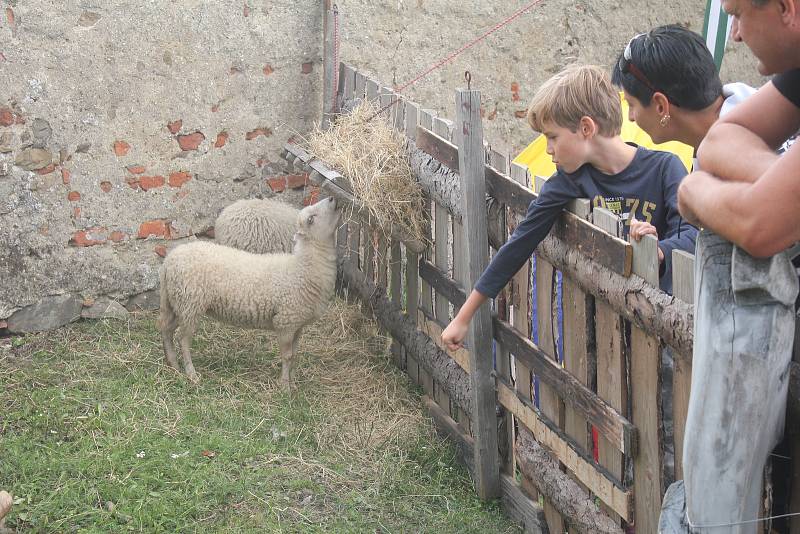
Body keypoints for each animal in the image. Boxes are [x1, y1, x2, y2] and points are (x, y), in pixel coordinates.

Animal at [158, 197, 340, 390]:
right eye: (311, 219)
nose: (332, 198)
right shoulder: (285, 322)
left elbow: (295, 354)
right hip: (190, 305)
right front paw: (284, 386)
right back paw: (191, 374)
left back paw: (173, 365)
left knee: (166, 329)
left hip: (176, 302)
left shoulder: (298, 325)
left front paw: (293, 383)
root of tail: (169, 261)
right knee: (183, 340)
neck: (303, 268)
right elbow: (287, 356)